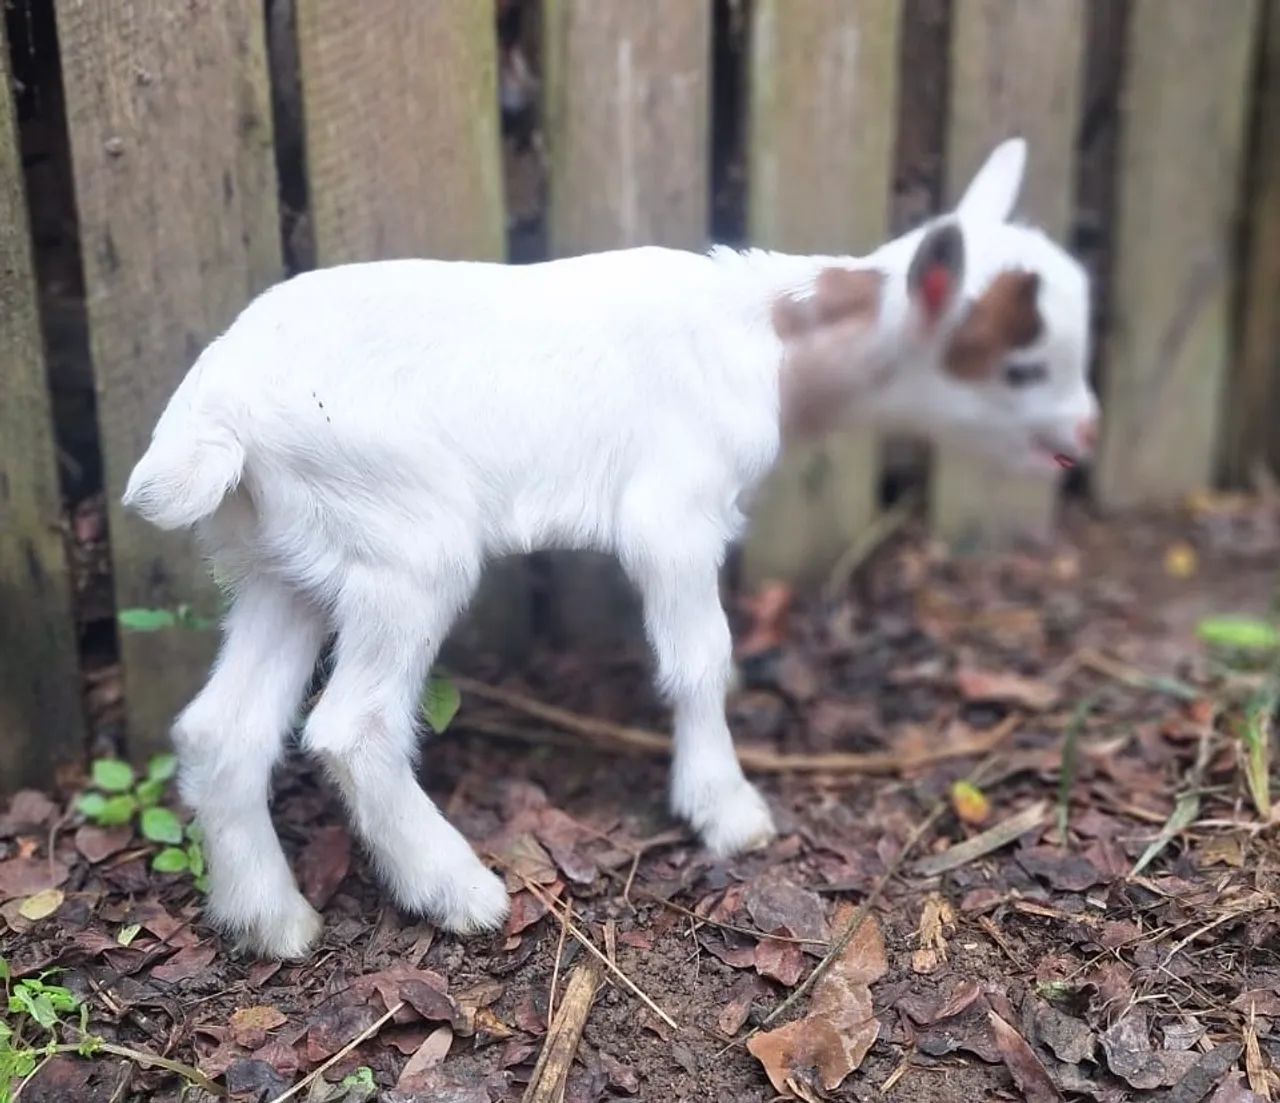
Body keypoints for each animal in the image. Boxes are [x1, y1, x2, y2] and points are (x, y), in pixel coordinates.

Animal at [123, 139, 1098, 959]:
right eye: (1019, 367)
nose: (1085, 434)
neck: (770, 339)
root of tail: (216, 409)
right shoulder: (675, 513)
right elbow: (702, 656)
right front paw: (725, 809)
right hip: (404, 541)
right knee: (351, 727)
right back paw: (456, 890)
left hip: (283, 559)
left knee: (222, 729)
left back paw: (271, 921)